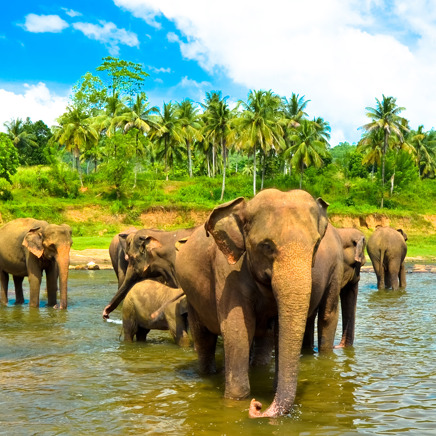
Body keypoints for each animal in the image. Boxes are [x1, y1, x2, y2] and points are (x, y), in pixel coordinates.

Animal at [173, 188, 328, 418]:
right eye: (266, 246)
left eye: (316, 245)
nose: (257, 406)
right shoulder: (228, 273)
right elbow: (237, 330)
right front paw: (238, 400)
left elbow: (279, 331)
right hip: (192, 296)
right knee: (204, 339)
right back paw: (208, 374)